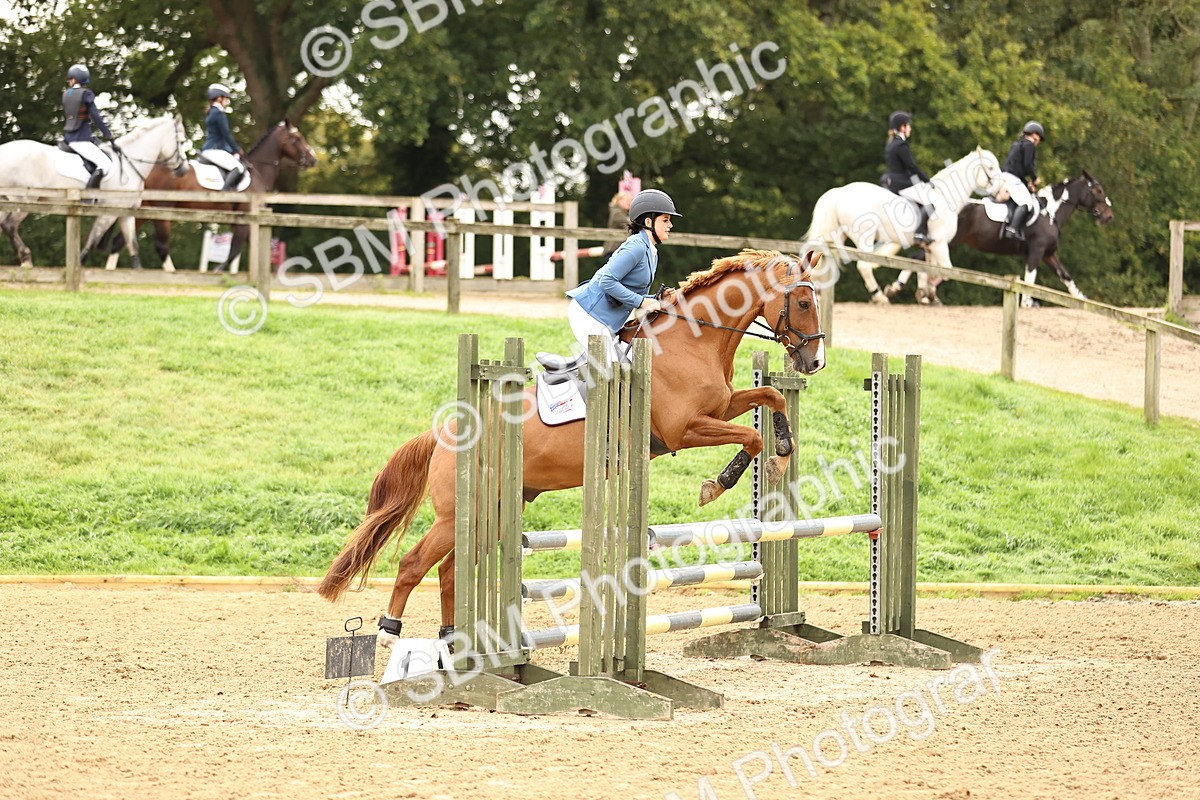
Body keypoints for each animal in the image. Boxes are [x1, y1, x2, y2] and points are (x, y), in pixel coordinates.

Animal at [0, 113, 189, 268]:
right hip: (22, 200)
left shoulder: (126, 213)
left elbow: (132, 245)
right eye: (181, 142)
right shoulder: (108, 213)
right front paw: (76, 268)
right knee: (9, 226)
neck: (129, 165)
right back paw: (26, 259)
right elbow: (92, 243)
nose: (184, 170)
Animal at [87, 120, 318, 271]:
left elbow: (254, 247)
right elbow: (234, 250)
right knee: (160, 246)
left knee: (119, 241)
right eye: (297, 138)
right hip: (162, 210)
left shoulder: (248, 221)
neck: (258, 170)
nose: (313, 159)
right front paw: (219, 271)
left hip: (144, 209)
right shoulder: (245, 219)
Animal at [316, 248, 827, 640]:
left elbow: (770, 397)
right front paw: (720, 483)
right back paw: (389, 632)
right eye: (803, 301)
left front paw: (782, 451)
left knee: (448, 571)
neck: (692, 341)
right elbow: (751, 434)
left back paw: (452, 641)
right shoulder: (684, 429)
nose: (815, 361)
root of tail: (443, 435)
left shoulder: (719, 408)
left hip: (491, 510)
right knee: (412, 565)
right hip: (460, 512)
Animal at [803, 148, 1005, 304]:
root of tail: (839, 192)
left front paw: (926, 294)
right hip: (865, 237)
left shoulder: (930, 246)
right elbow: (946, 271)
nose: (1003, 193)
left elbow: (927, 268)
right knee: (864, 265)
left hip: (838, 236)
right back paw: (880, 297)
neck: (945, 198)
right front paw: (926, 292)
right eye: (990, 168)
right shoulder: (940, 244)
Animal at [883, 173, 1114, 307]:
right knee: (920, 259)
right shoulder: (1037, 250)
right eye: (1098, 190)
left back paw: (916, 291)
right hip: (947, 242)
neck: (1050, 213)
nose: (1109, 216)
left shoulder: (1049, 253)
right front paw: (1028, 302)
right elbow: (1030, 277)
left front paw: (1081, 298)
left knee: (919, 259)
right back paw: (904, 289)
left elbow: (1066, 276)